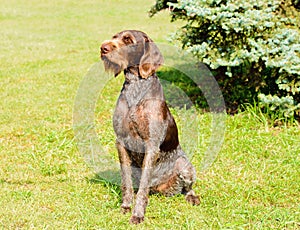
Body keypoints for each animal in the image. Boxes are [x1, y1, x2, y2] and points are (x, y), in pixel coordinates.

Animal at [100, 29, 199, 224]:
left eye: (128, 39)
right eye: (114, 37)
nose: (103, 48)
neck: (136, 85)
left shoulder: (151, 145)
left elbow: (143, 188)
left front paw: (138, 214)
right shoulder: (121, 142)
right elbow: (126, 183)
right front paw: (126, 207)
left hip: (184, 164)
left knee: (187, 188)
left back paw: (192, 197)